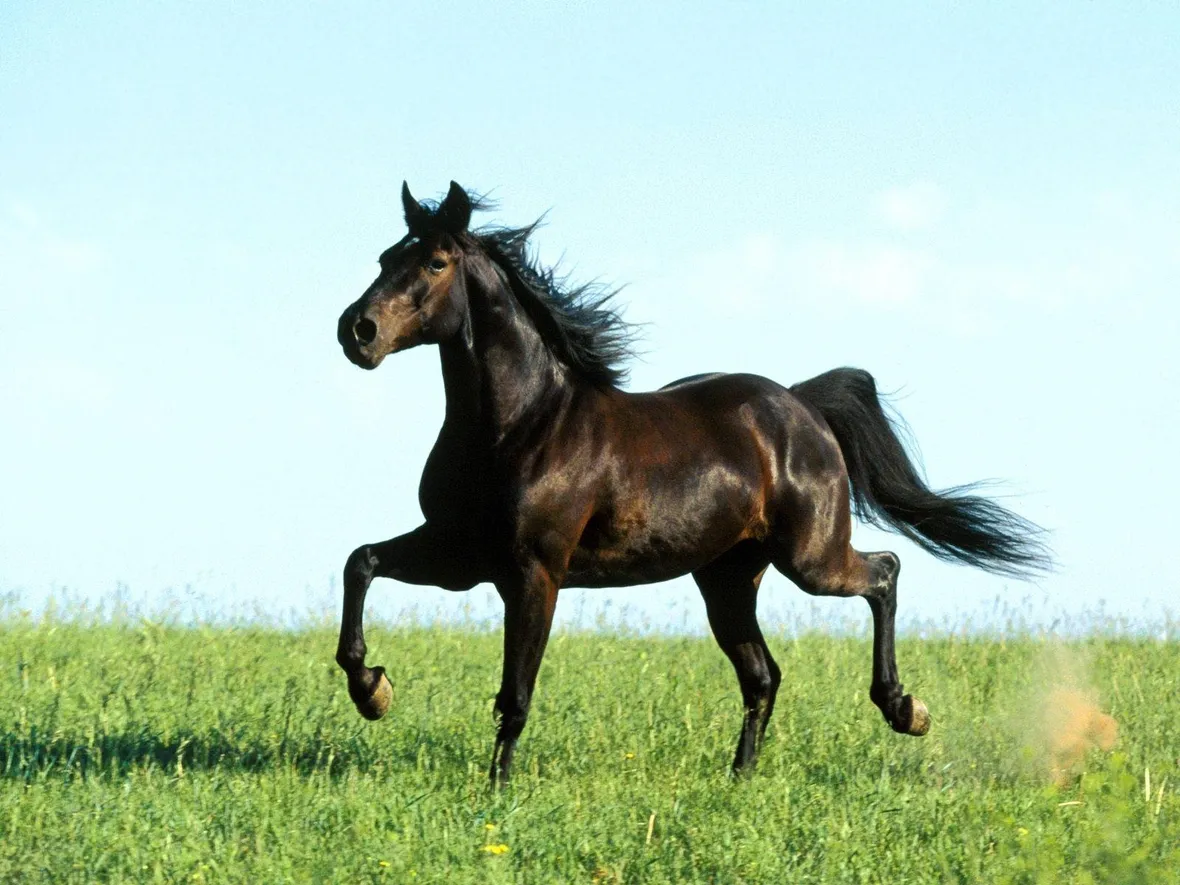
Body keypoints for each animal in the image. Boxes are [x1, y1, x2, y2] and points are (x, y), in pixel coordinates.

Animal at [334, 181, 1050, 785]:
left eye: (435, 263)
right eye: (385, 256)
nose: (356, 331)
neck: (521, 426)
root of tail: (801, 404)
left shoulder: (532, 572)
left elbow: (515, 692)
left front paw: (497, 791)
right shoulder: (461, 554)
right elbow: (361, 562)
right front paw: (372, 690)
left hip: (810, 560)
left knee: (884, 572)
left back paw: (904, 709)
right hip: (728, 578)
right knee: (763, 676)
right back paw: (740, 779)